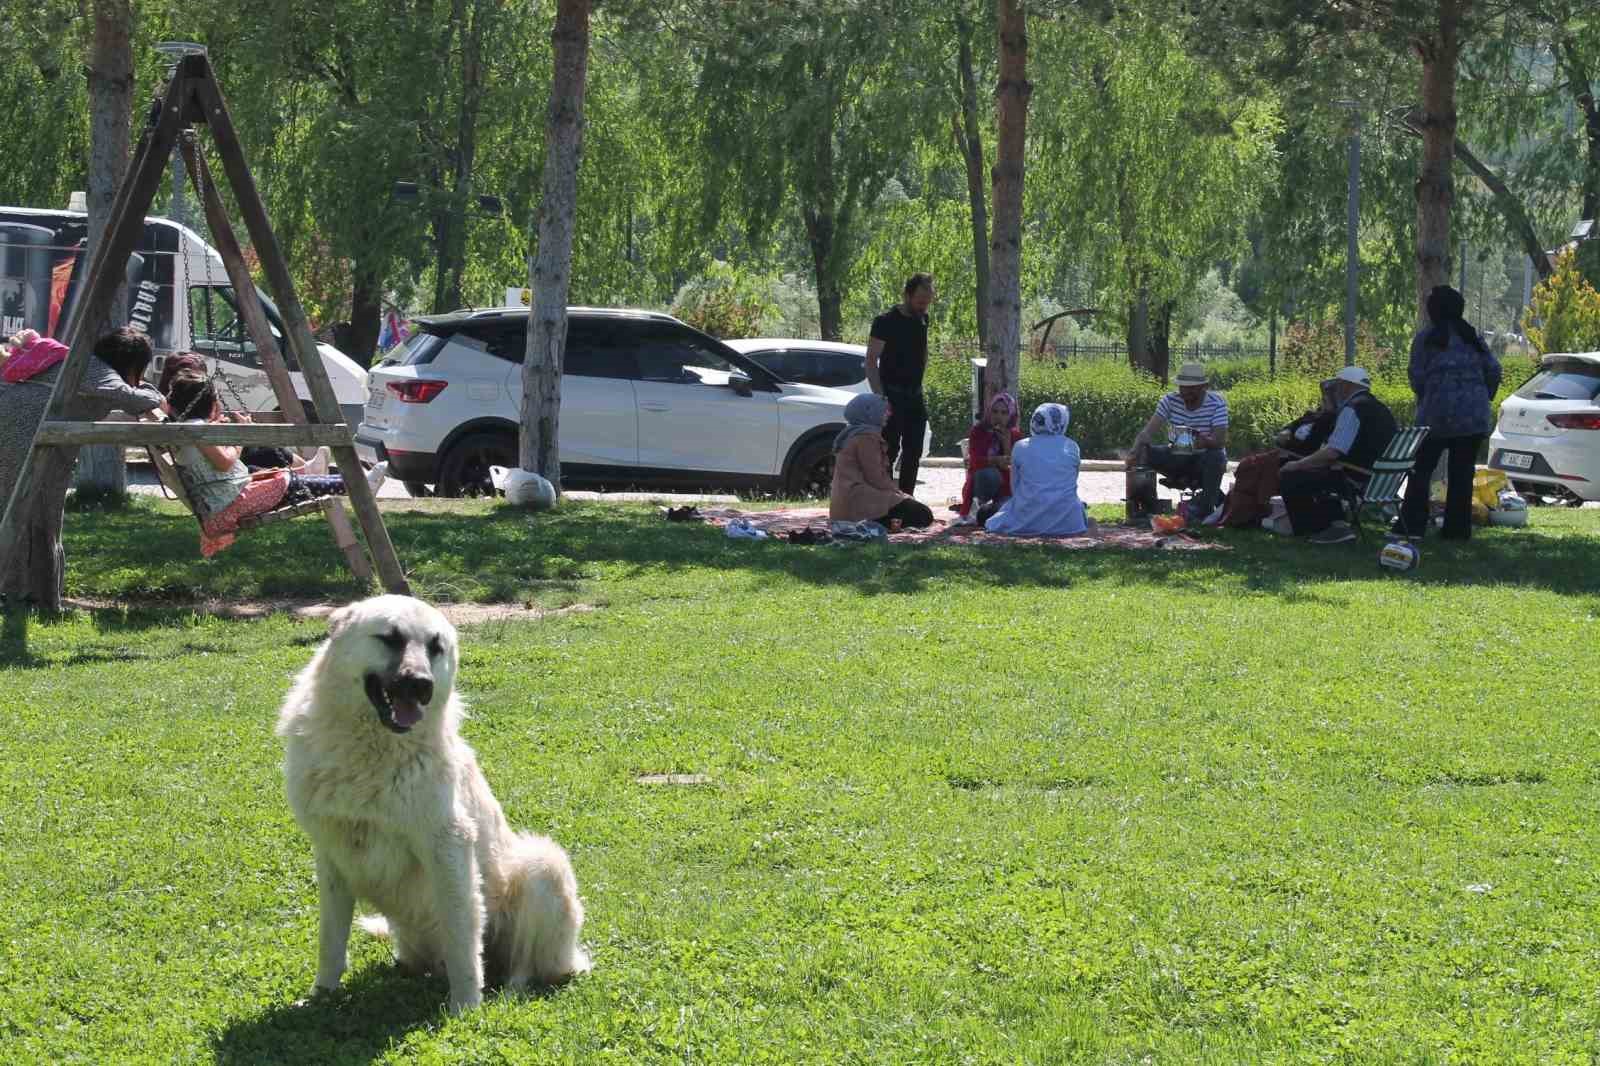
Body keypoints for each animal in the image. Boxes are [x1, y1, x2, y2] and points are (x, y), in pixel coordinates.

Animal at [278, 592, 592, 1011]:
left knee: (527, 966)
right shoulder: (333, 856)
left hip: (544, 863)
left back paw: (508, 991)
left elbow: (462, 937)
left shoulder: (448, 848)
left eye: (435, 647)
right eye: (390, 638)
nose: (421, 684)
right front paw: (321, 996)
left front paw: (466, 1007)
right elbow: (331, 941)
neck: (371, 752)